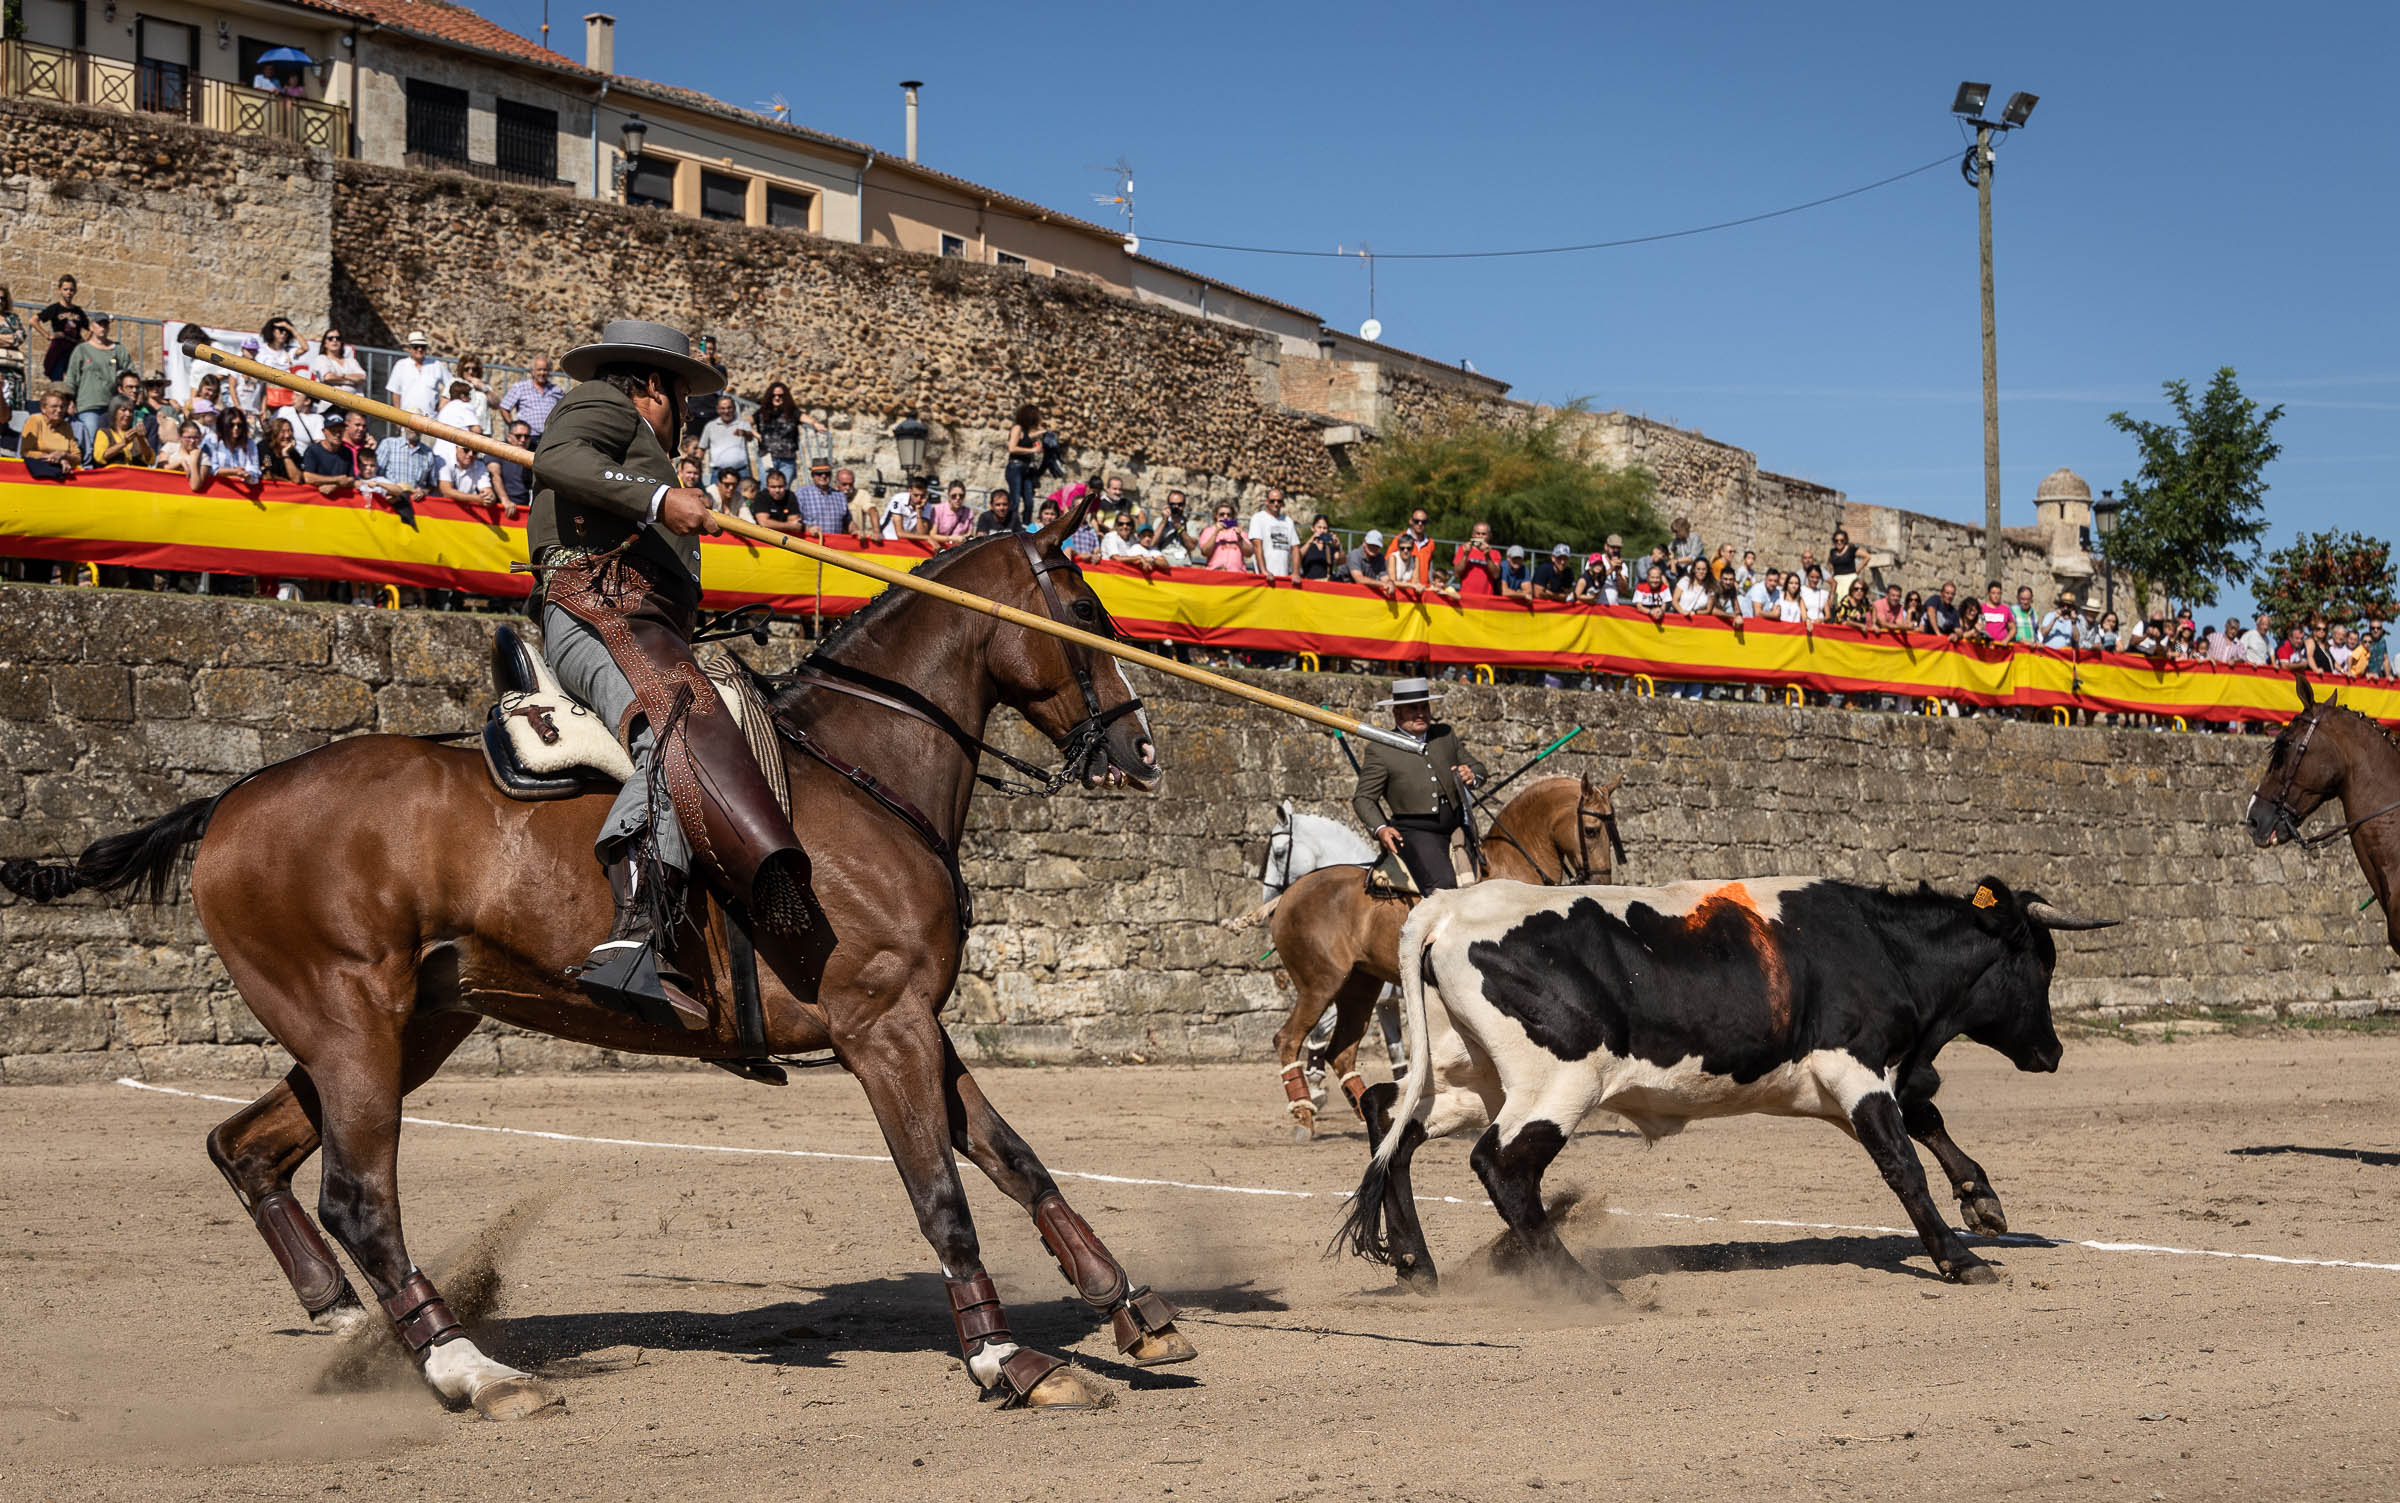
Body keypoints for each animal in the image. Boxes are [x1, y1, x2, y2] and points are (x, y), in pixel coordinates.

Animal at [0, 509, 1200, 1411]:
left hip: (406, 1025)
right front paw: (1003, 1355)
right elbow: (942, 1190)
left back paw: (345, 1314)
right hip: (351, 1025)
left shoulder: (916, 1021)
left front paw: (1128, 1305)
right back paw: (472, 1370)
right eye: (1086, 611)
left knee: (245, 1147)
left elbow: (1014, 1156)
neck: (862, 770)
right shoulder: (880, 1028)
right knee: (358, 1197)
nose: (1143, 753)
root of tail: (227, 802)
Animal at [1248, 773, 1622, 1133]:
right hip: (1321, 984)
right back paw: (1304, 1113)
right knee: (1289, 1039)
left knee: (1341, 1050)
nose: (1602, 879)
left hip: (1359, 986)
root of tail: (1290, 896)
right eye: (1592, 830)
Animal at [1344, 873, 2112, 1296]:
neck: (1880, 945)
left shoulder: (1873, 1073)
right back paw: (1583, 1286)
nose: (2052, 1050)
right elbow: (1903, 1162)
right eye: (2040, 962)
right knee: (1501, 1167)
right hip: (1554, 1083)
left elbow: (1926, 1117)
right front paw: (1958, 1257)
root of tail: (1446, 907)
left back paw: (1414, 1262)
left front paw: (1983, 1201)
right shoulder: (1853, 1065)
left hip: (1464, 1073)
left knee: (1389, 1117)